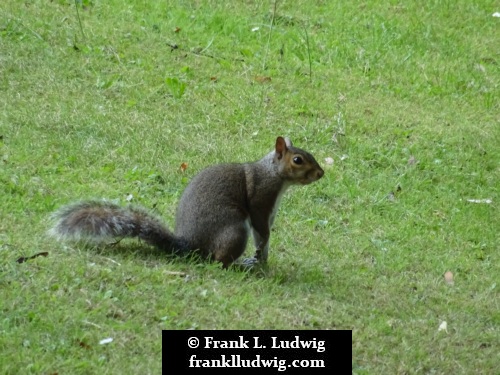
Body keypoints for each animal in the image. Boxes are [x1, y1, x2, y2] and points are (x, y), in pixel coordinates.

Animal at [50, 137, 324, 268]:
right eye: (298, 160)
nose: (321, 173)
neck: (274, 174)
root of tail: (189, 244)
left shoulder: (270, 212)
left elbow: (263, 238)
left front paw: (263, 260)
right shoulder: (260, 202)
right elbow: (262, 232)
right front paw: (258, 259)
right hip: (235, 230)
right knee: (218, 261)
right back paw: (238, 265)